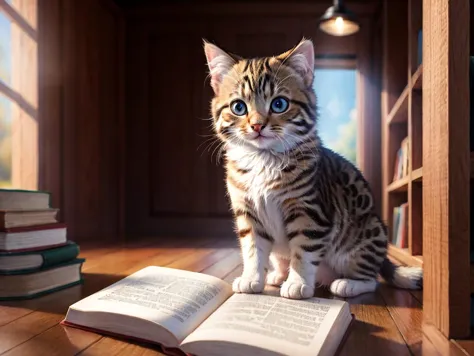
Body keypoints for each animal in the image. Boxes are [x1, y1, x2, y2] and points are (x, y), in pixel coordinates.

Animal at [203, 39, 422, 298]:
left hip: (369, 233)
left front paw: (298, 284)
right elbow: (253, 249)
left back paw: (349, 283)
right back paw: (278, 274)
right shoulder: (247, 212)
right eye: (238, 107)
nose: (257, 125)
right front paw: (252, 278)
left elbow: (304, 249)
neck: (263, 160)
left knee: (371, 278)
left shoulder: (309, 210)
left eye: (279, 104)